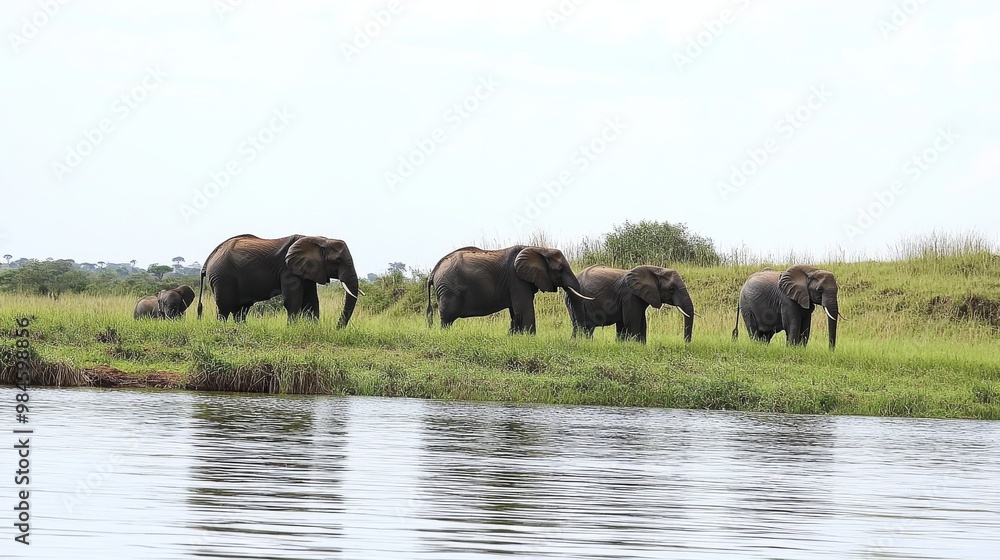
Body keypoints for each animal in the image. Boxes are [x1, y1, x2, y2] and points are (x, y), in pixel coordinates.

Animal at [196, 234, 361, 325]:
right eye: (337, 261)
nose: (336, 328)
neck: (320, 240)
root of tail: (208, 259)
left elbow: (311, 301)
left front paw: (313, 329)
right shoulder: (287, 269)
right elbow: (293, 300)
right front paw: (292, 329)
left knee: (241, 309)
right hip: (222, 277)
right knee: (224, 308)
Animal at [426, 245, 593, 334]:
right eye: (560, 269)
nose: (579, 337)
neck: (539, 249)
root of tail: (434, 271)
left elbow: (516, 312)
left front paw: (514, 336)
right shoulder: (516, 280)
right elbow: (524, 309)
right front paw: (530, 338)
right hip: (449, 291)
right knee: (446, 318)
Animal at [565, 265, 694, 343]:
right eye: (672, 289)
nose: (685, 344)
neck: (655, 269)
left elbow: (640, 322)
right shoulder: (629, 296)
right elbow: (632, 321)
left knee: (578, 325)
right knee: (587, 326)